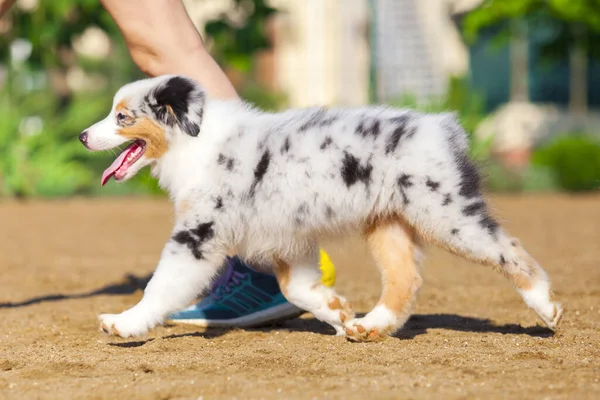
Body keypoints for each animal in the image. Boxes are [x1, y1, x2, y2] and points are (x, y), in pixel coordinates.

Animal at [79, 74, 564, 340]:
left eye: (122, 117)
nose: (82, 136)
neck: (192, 141)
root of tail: (442, 126)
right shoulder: (286, 239)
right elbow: (297, 288)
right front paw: (336, 312)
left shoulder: (198, 235)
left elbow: (161, 285)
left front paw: (124, 323)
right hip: (386, 223)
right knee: (404, 279)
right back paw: (370, 326)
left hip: (446, 214)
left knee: (508, 249)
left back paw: (546, 307)